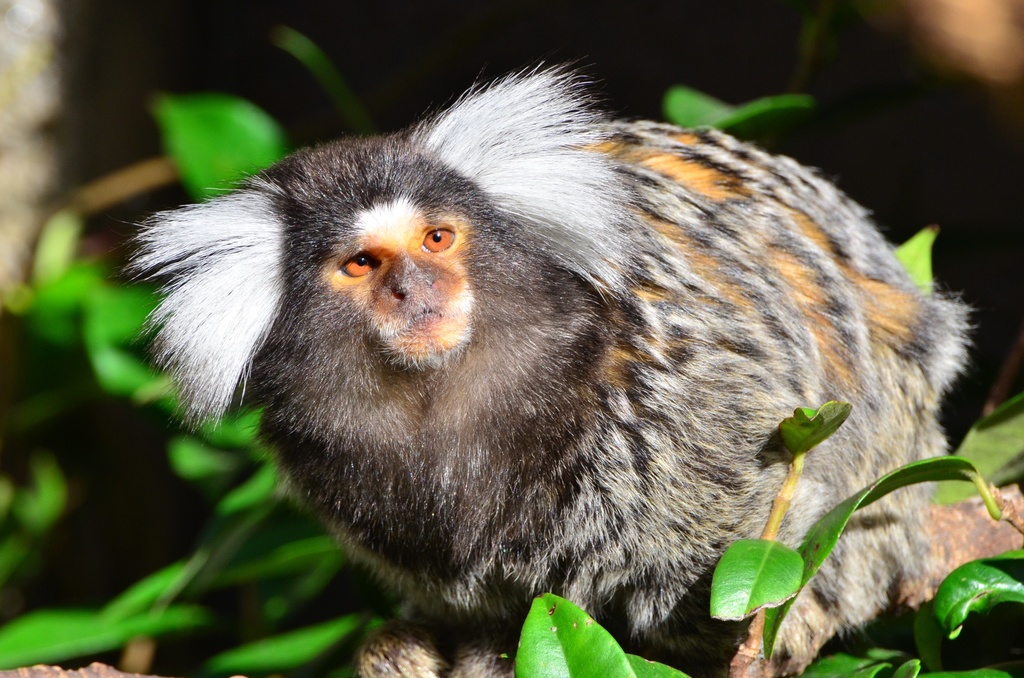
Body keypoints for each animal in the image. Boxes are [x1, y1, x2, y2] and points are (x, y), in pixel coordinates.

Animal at [132, 67, 970, 675]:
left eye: (437, 239)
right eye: (361, 264)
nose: (415, 291)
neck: (441, 398)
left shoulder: (677, 376)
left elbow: (759, 495)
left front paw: (765, 626)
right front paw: (425, 642)